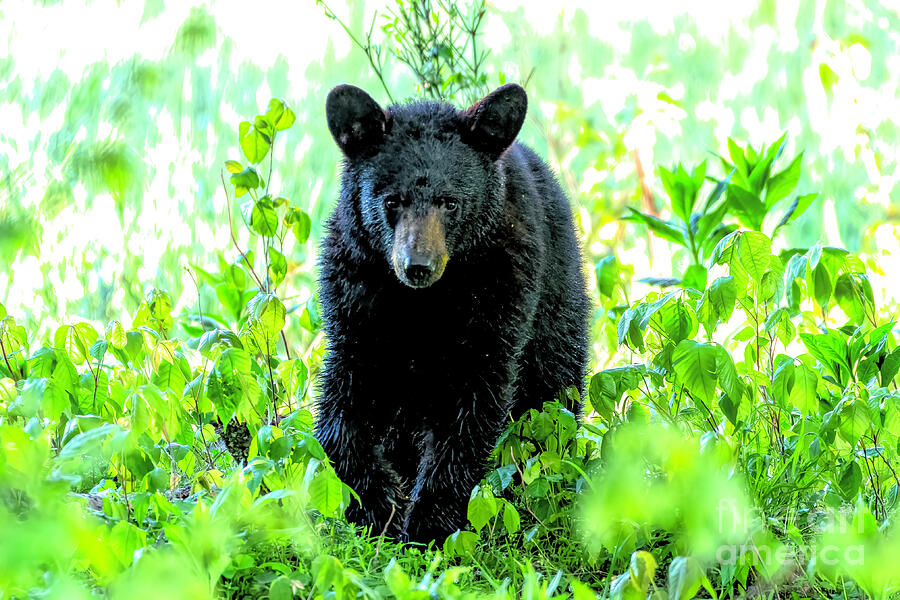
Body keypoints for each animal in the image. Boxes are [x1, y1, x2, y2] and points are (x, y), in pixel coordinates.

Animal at [316, 82, 592, 540]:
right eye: (392, 201)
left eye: (449, 202)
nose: (418, 266)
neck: (423, 303)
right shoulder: (355, 289)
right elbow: (343, 401)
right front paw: (378, 506)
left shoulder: (499, 287)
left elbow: (473, 404)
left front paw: (429, 521)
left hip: (558, 309)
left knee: (552, 393)